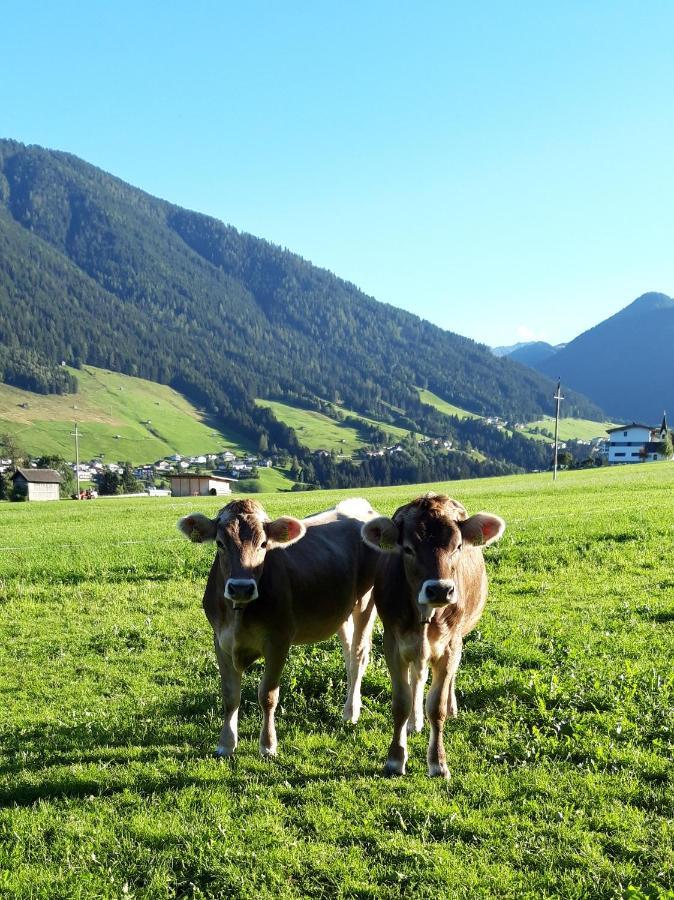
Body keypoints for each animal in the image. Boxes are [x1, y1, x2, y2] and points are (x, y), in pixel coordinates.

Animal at [177, 500, 378, 760]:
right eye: (220, 543)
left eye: (263, 544)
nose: (240, 588)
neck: (239, 612)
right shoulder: (221, 641)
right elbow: (230, 695)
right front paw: (226, 744)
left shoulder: (278, 641)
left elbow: (267, 695)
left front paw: (268, 745)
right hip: (342, 611)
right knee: (348, 653)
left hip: (366, 602)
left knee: (358, 657)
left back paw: (351, 712)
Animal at [360, 496, 502, 776]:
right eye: (407, 548)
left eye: (458, 546)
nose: (440, 590)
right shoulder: (393, 644)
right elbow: (401, 702)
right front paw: (395, 758)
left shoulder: (450, 646)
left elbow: (436, 706)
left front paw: (438, 762)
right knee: (417, 676)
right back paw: (414, 722)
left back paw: (451, 706)